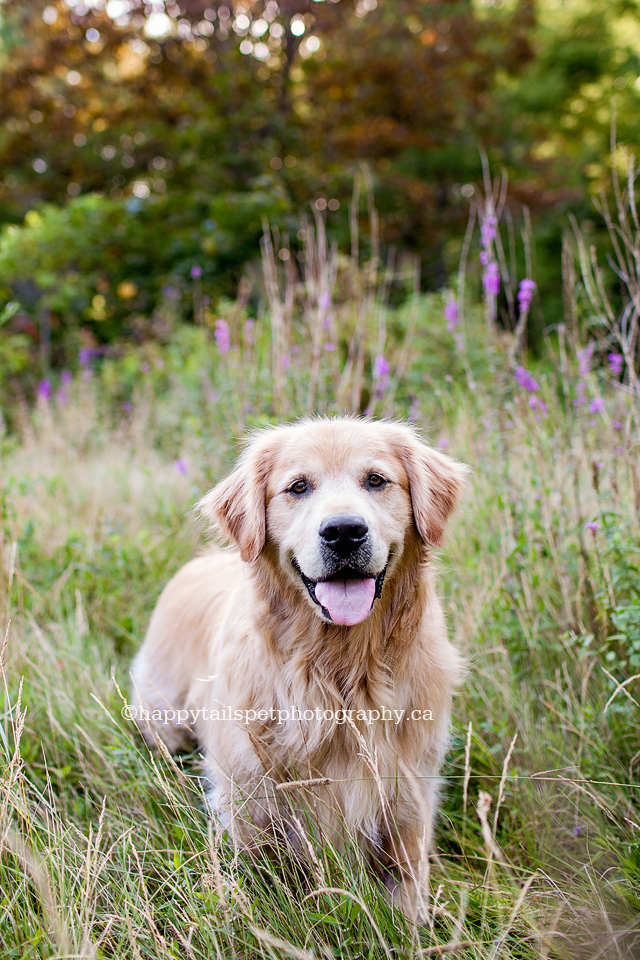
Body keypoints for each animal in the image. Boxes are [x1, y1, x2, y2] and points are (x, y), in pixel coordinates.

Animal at [130, 416, 464, 920]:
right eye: (298, 487)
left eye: (376, 480)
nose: (344, 531)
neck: (340, 673)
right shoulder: (248, 797)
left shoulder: (409, 791)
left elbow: (407, 884)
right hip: (162, 716)